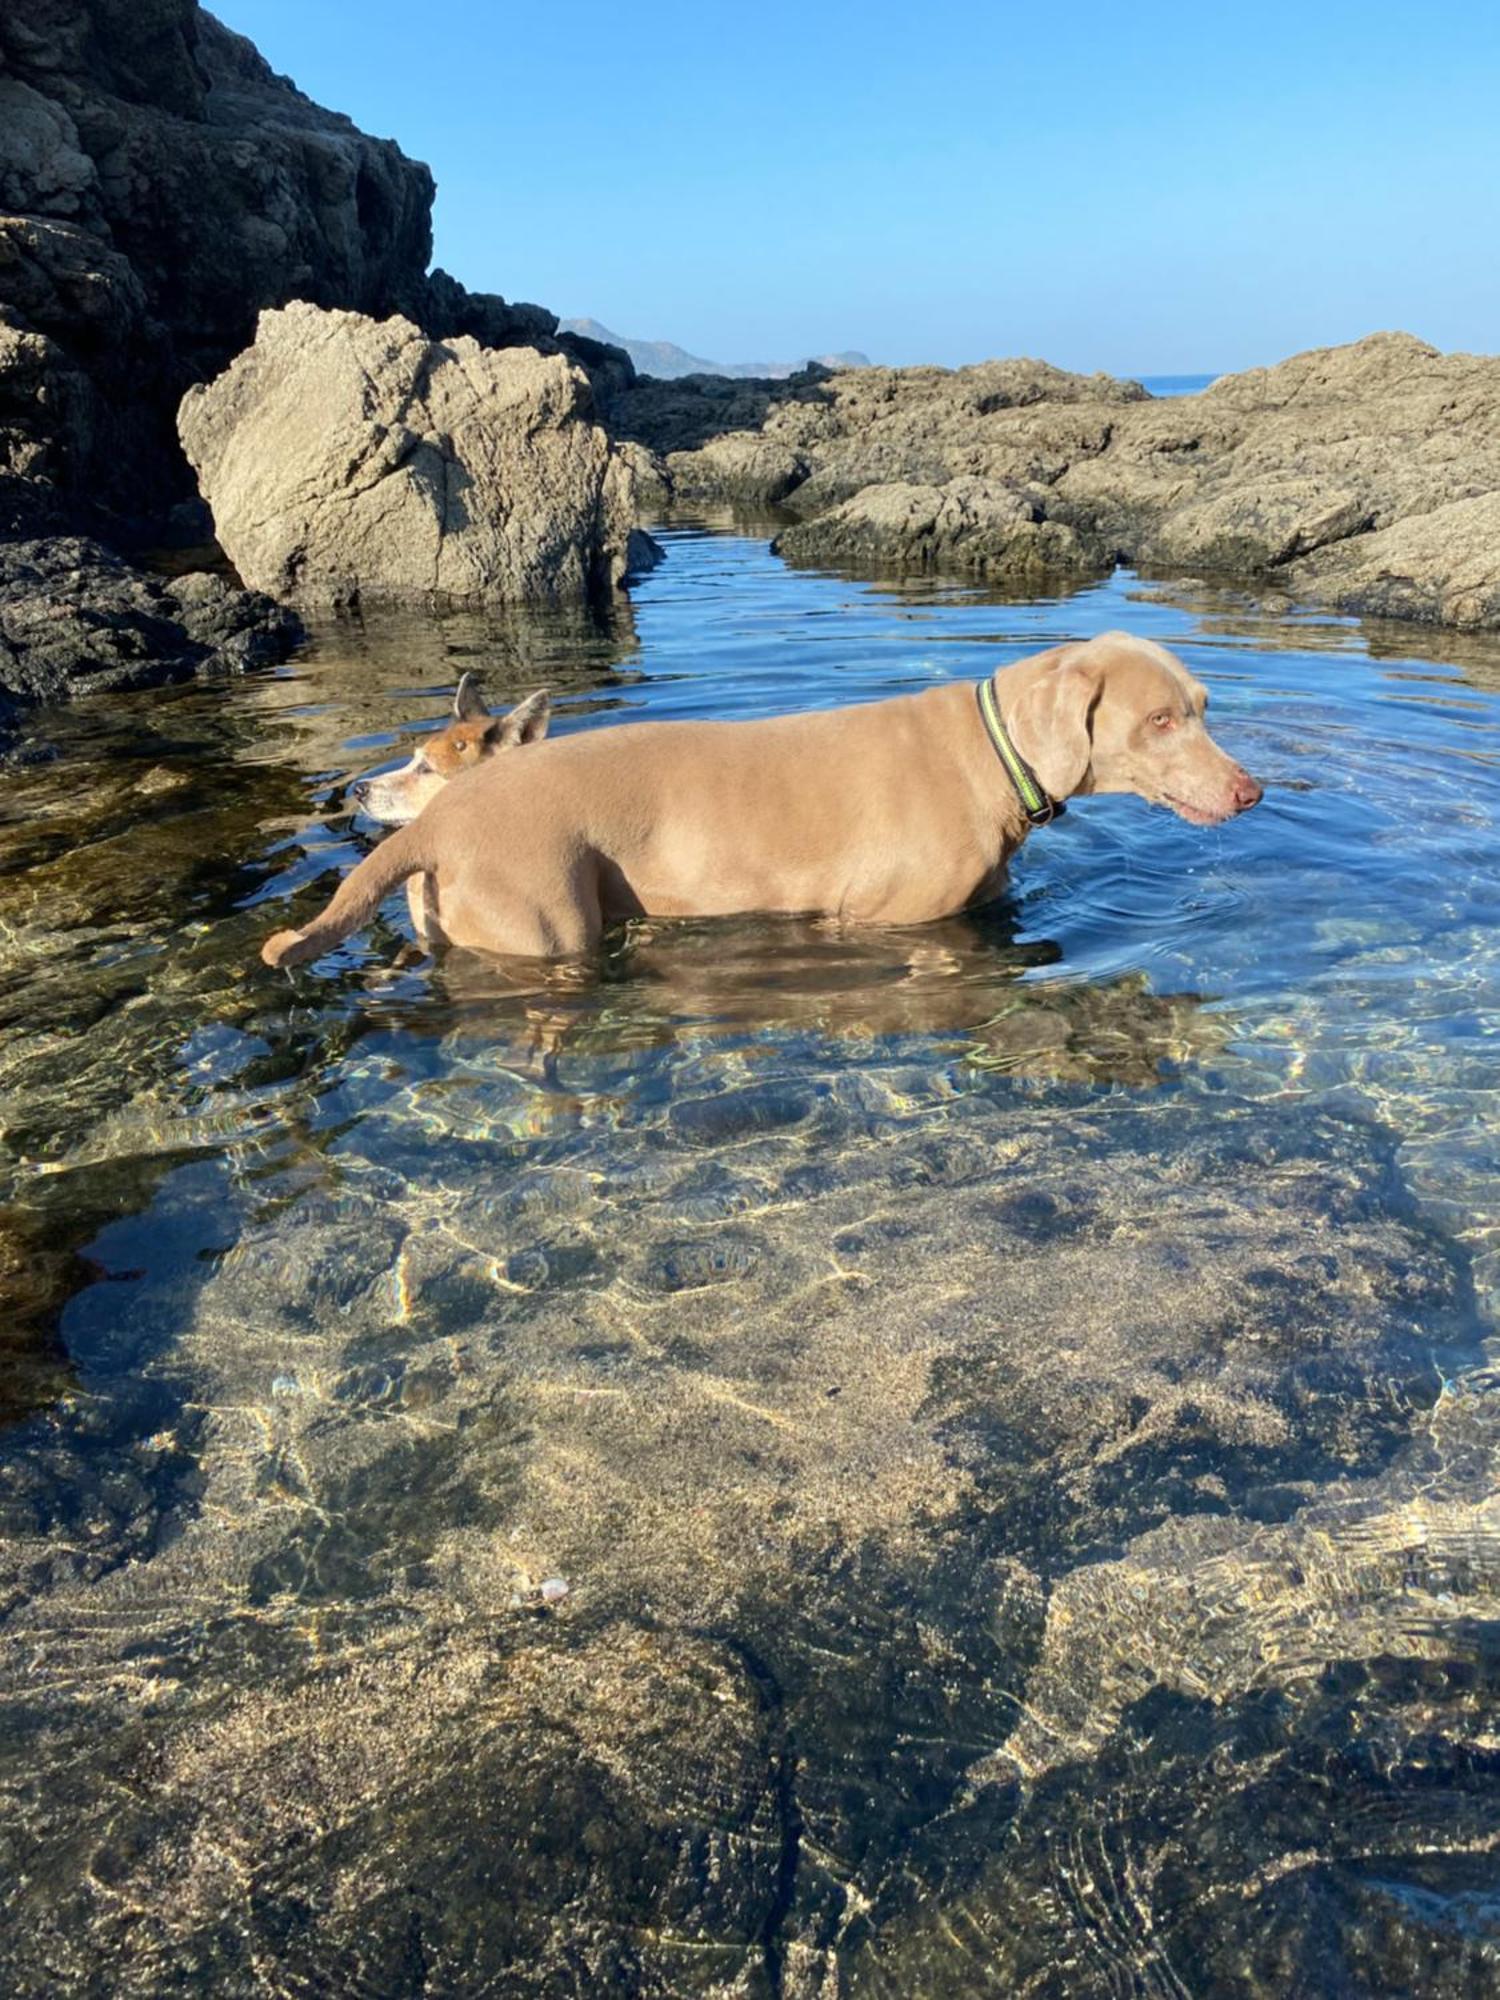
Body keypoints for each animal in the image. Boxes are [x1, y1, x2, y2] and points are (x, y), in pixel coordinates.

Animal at [262, 628, 1272, 964]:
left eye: (1203, 707)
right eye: (1158, 721)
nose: (1249, 789)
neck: (991, 756)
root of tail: (436, 826)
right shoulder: (890, 920)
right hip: (544, 919)